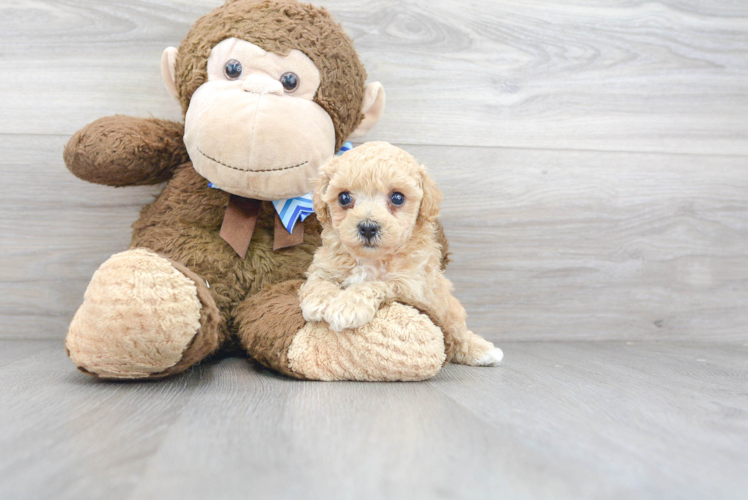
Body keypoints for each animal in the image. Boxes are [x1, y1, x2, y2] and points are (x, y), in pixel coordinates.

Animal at [298, 142, 502, 368]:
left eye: (397, 198)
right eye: (344, 198)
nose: (368, 227)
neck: (371, 259)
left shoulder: (410, 285)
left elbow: (374, 284)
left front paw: (348, 306)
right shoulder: (325, 265)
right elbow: (319, 279)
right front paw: (318, 301)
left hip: (449, 309)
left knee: (458, 335)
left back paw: (484, 351)